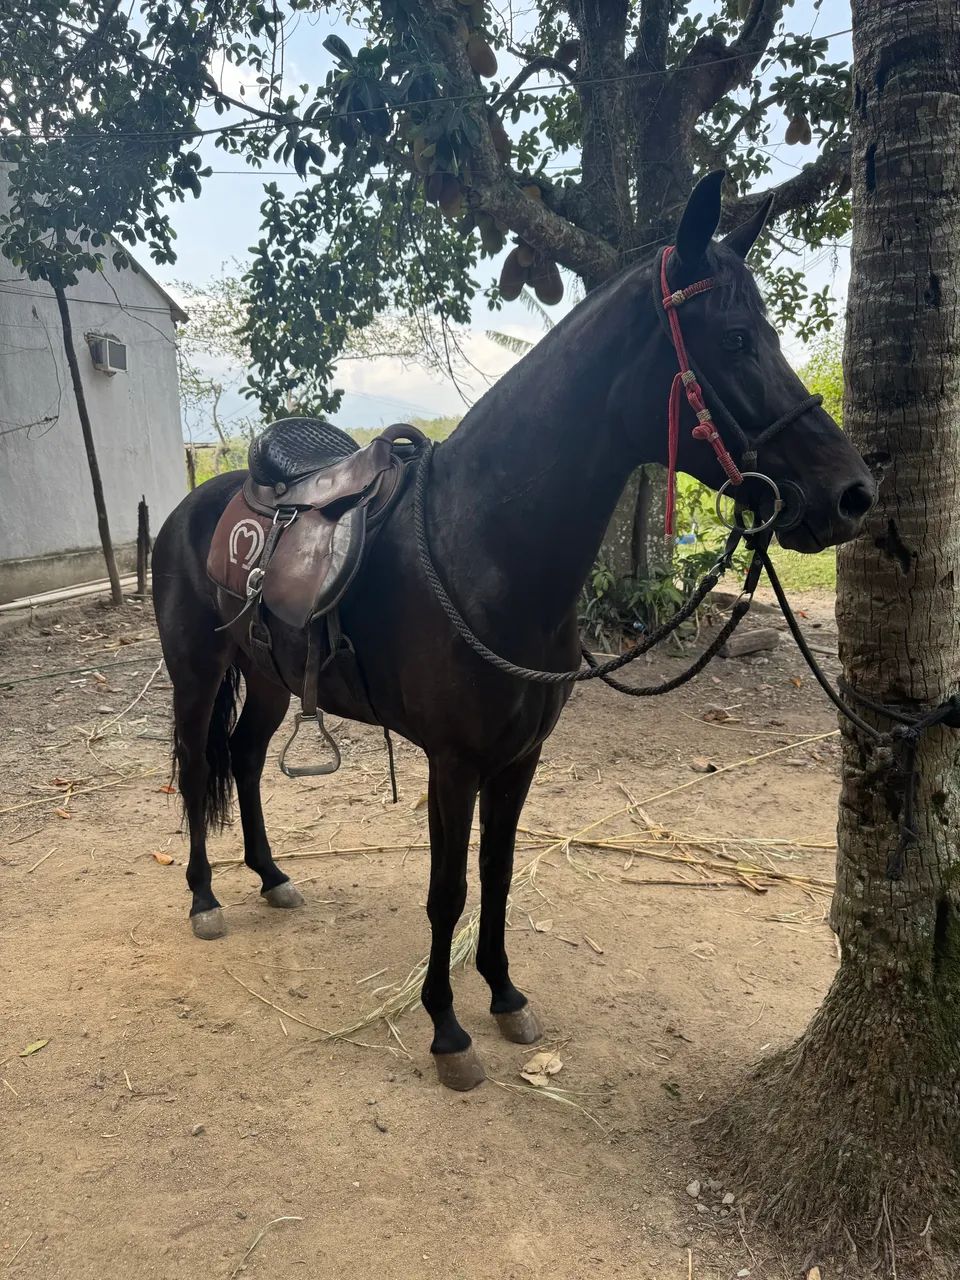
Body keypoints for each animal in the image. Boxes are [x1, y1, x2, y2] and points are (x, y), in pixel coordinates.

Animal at [152, 172, 875, 1090]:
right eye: (738, 338)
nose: (854, 494)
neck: (483, 546)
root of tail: (196, 502)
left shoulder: (521, 758)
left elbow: (496, 876)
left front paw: (502, 995)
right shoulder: (454, 762)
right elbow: (449, 891)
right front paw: (447, 1030)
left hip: (275, 678)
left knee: (244, 759)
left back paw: (273, 876)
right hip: (197, 672)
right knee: (194, 765)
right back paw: (205, 897)